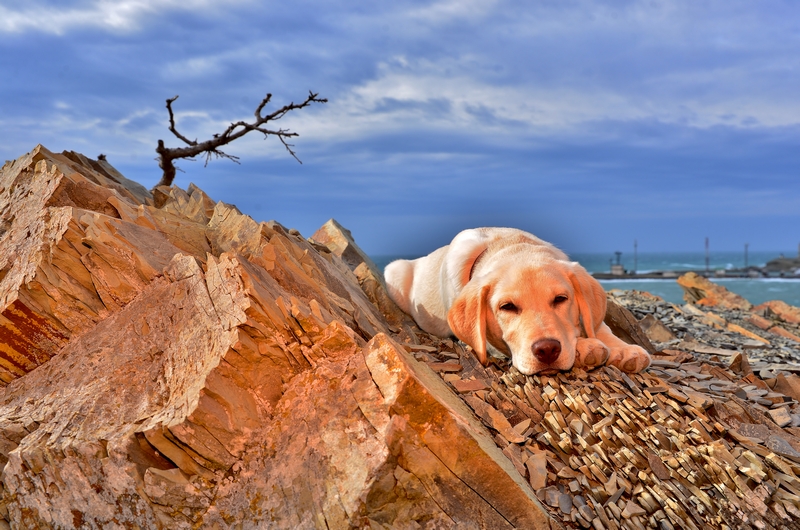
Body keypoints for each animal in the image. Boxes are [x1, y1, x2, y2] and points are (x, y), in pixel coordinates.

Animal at [384, 229, 652, 374]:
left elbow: (599, 325)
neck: (509, 243)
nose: (547, 350)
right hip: (393, 272)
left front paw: (623, 348)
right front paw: (584, 347)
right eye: (507, 307)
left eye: (560, 299)